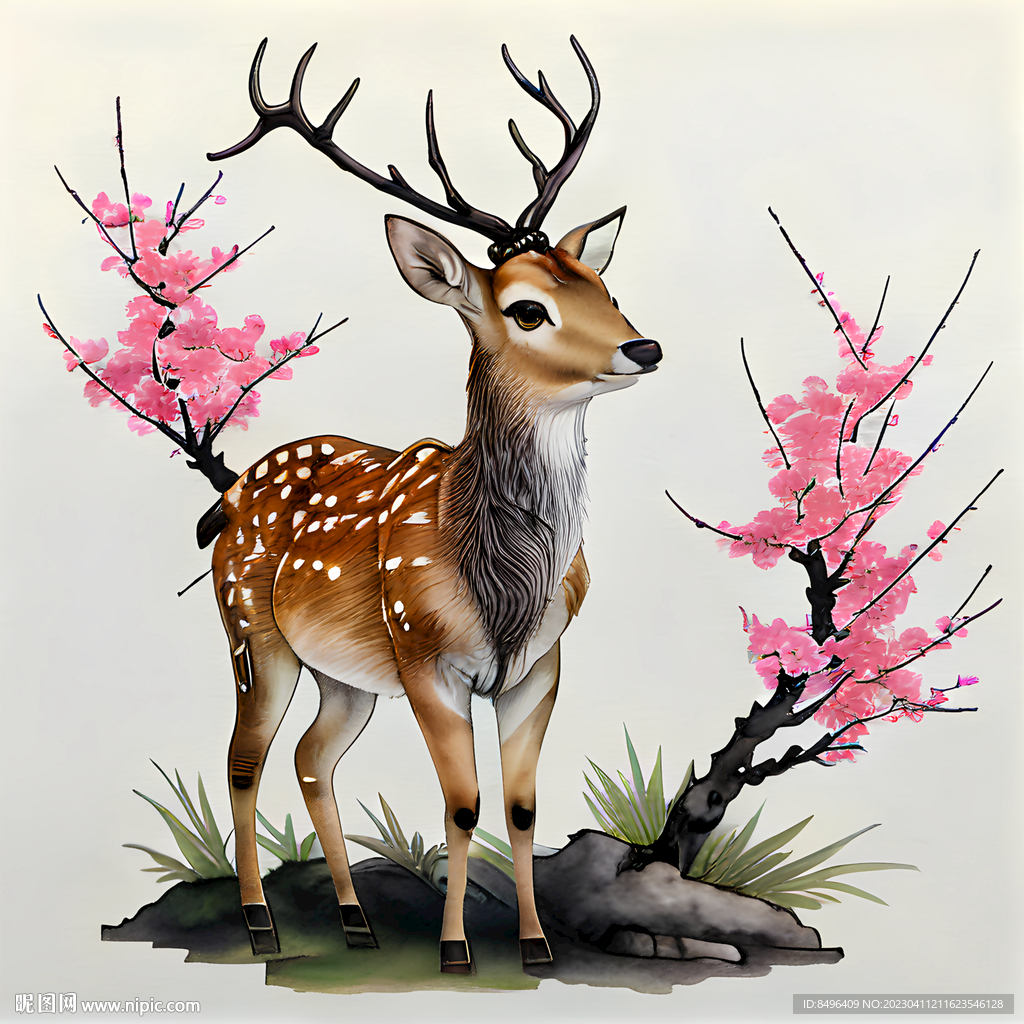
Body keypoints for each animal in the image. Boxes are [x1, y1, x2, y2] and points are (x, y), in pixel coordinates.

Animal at [202, 36, 662, 973]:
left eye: (603, 286)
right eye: (528, 308)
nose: (645, 346)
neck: (502, 582)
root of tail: (226, 497)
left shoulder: (541, 666)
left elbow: (519, 807)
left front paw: (535, 946)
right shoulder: (426, 659)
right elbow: (462, 804)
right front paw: (456, 950)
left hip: (345, 675)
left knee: (311, 759)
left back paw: (356, 922)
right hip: (250, 632)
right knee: (243, 761)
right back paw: (263, 924)